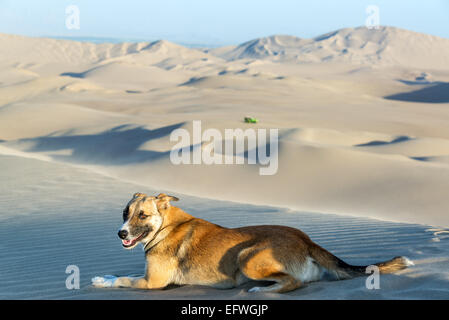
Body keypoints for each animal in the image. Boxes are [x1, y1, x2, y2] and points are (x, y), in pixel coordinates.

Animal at [91, 192, 412, 292]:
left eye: (142, 215)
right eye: (124, 214)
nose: (121, 233)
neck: (165, 226)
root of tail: (305, 239)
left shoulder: (152, 283)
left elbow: (123, 280)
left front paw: (102, 280)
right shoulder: (149, 275)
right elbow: (126, 274)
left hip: (247, 257)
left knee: (292, 283)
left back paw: (261, 290)